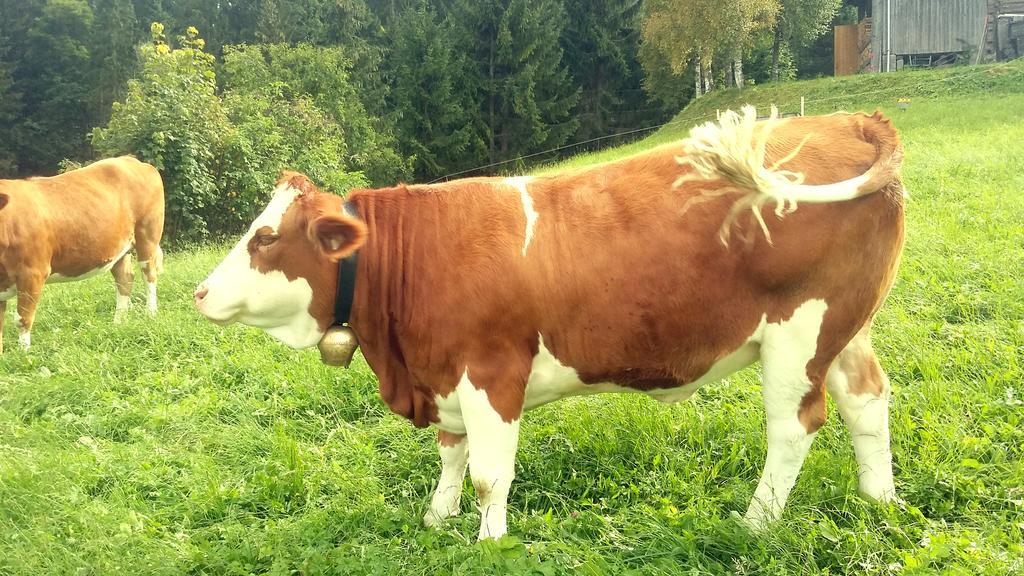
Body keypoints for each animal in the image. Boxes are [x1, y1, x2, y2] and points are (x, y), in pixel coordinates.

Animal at [0, 153, 163, 350]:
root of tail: (131, 160)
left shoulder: (32, 273)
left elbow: (22, 319)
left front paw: (23, 354)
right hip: (120, 247)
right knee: (125, 280)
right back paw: (118, 323)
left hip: (148, 234)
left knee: (149, 275)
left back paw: (150, 313)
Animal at [193, 108, 905, 537]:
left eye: (265, 237)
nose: (198, 292)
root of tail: (851, 119)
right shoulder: (444, 373)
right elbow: (451, 455)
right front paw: (436, 519)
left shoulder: (491, 372)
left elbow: (488, 473)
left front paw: (488, 540)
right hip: (844, 327)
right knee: (866, 399)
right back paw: (878, 500)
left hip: (797, 333)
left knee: (794, 426)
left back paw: (756, 524)